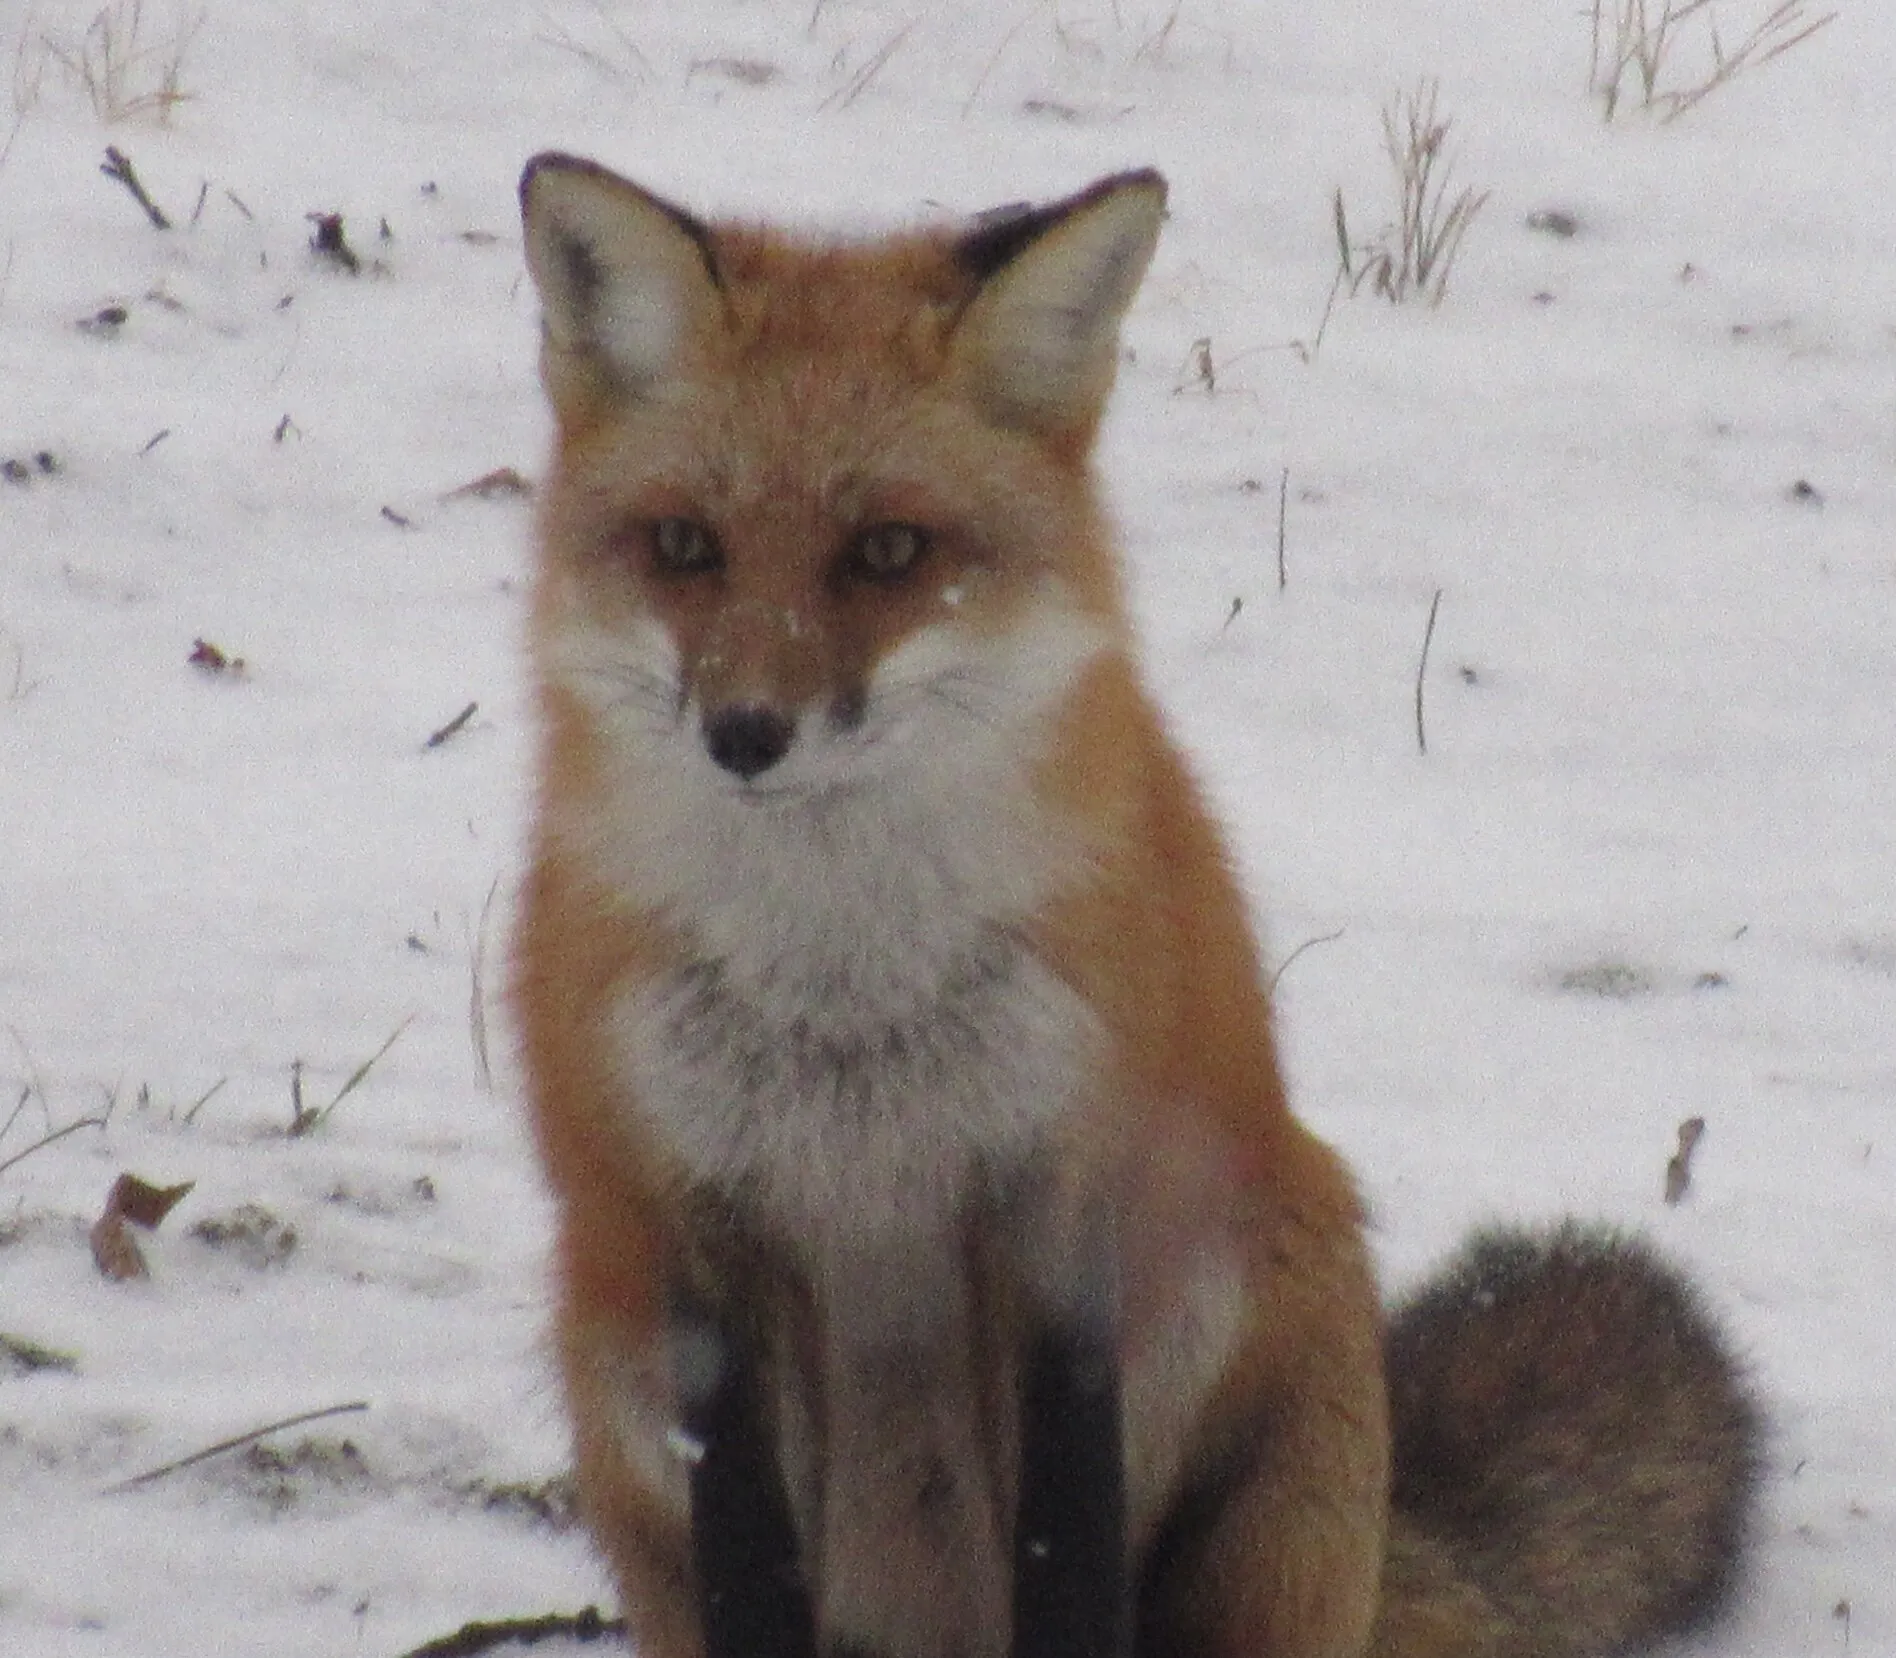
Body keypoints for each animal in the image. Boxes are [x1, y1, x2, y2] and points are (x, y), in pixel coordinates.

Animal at [509, 152, 1760, 1658]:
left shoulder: (1068, 1211)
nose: (745, 734)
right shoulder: (698, 1246)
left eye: (888, 549)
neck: (847, 996)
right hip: (609, 1364)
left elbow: (1069, 1553)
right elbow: (751, 1573)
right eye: (685, 543)